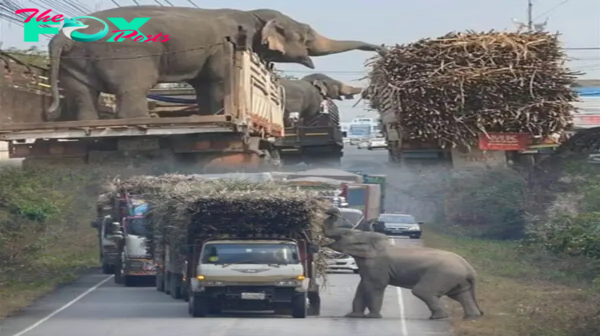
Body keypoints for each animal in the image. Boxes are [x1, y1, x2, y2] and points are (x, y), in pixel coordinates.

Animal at [45, 6, 384, 121]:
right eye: (307, 34)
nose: (382, 49)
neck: (254, 14)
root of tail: (61, 38)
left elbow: (206, 84)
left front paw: (210, 114)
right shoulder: (226, 45)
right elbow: (220, 82)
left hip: (75, 63)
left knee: (81, 94)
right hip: (125, 55)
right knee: (132, 89)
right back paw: (142, 121)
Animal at [324, 207, 482, 320]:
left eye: (344, 234)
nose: (331, 211)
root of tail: (470, 268)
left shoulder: (377, 264)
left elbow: (375, 285)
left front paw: (372, 317)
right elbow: (362, 285)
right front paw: (353, 316)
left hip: (442, 275)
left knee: (422, 291)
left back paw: (438, 317)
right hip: (456, 279)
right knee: (461, 295)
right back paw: (470, 318)